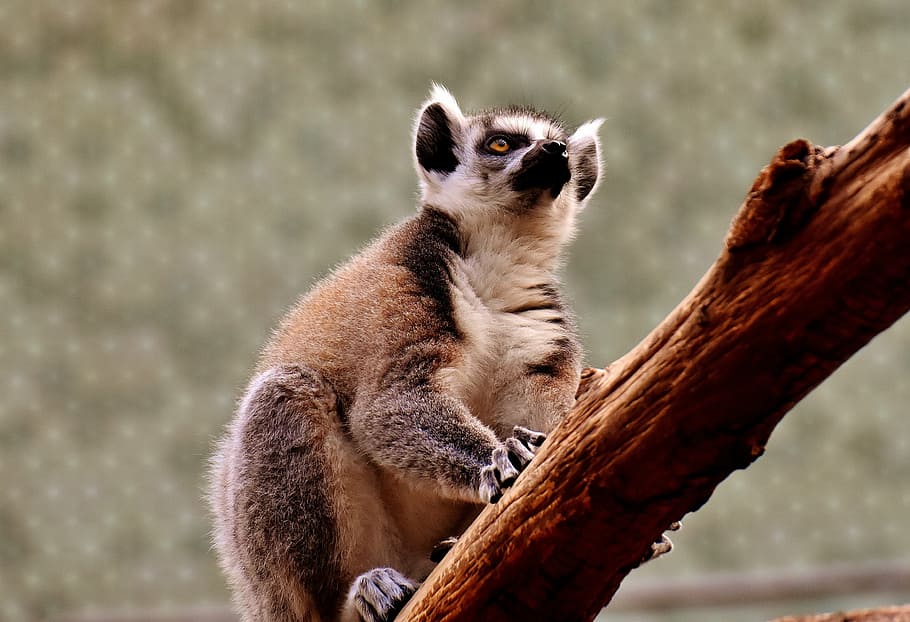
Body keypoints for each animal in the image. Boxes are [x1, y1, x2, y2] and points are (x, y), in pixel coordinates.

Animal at [208, 84, 605, 622]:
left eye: (556, 144)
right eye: (501, 144)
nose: (555, 152)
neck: (497, 262)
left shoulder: (539, 331)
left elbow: (545, 417)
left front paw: (531, 446)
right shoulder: (407, 288)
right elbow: (386, 407)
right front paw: (500, 458)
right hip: (270, 566)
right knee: (284, 393)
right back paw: (357, 597)